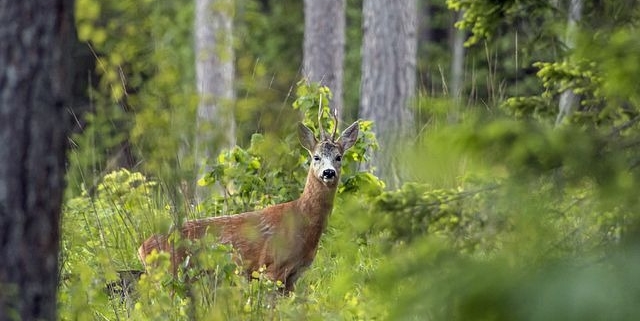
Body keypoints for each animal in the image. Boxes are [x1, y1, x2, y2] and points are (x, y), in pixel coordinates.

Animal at [138, 109, 358, 292]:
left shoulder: (293, 276)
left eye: (339, 157)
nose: (328, 173)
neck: (302, 221)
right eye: (316, 157)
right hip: (169, 274)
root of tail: (142, 248)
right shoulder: (271, 267)